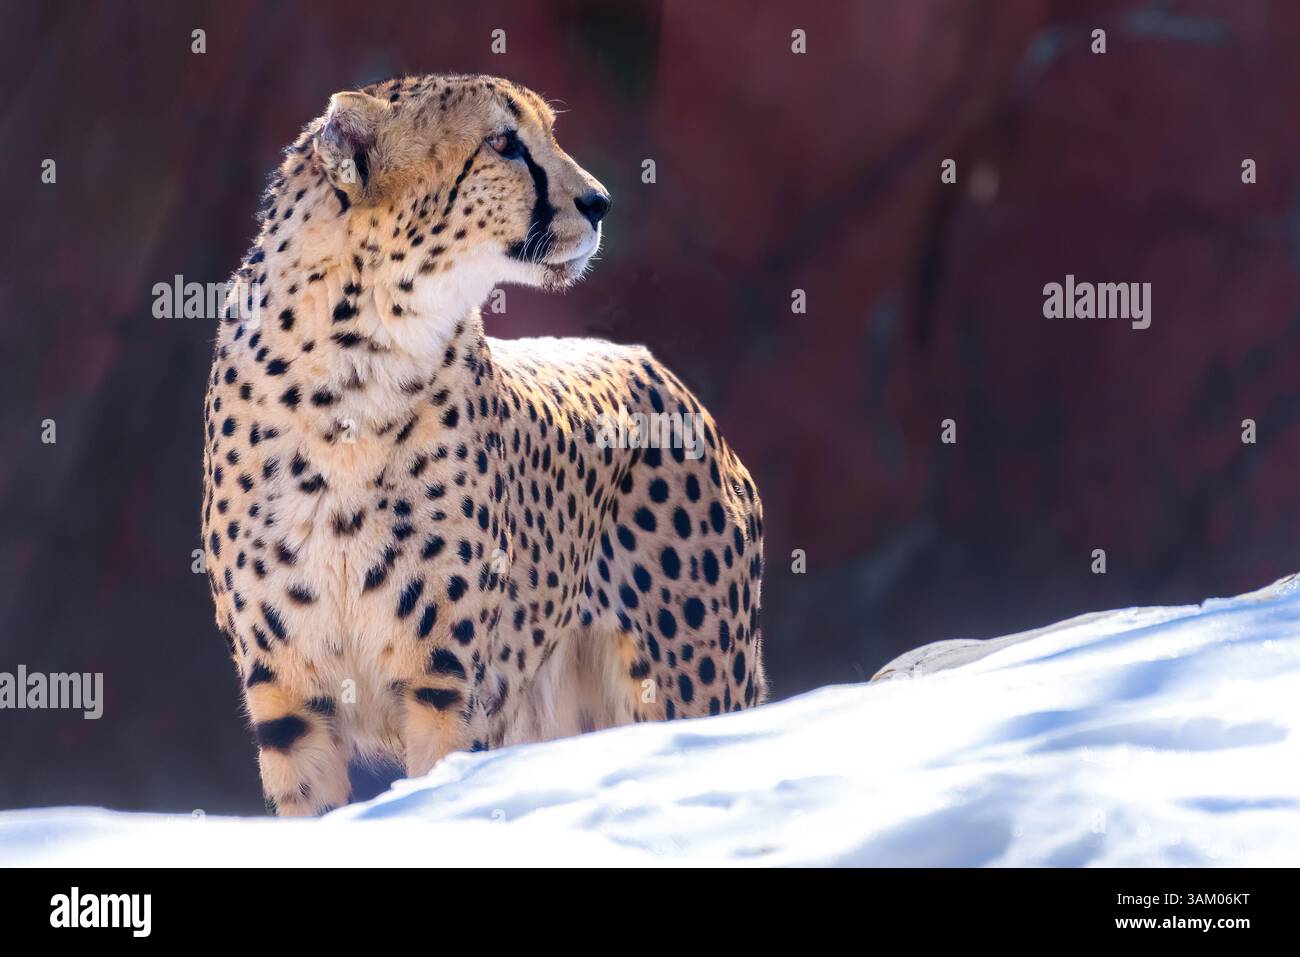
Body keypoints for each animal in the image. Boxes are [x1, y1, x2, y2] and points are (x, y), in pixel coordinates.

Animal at [200, 73, 765, 816]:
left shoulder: (448, 682)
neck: (356, 365)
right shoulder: (289, 693)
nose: (600, 202)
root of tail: (654, 365)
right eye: (503, 143)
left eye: (547, 132)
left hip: (694, 683)